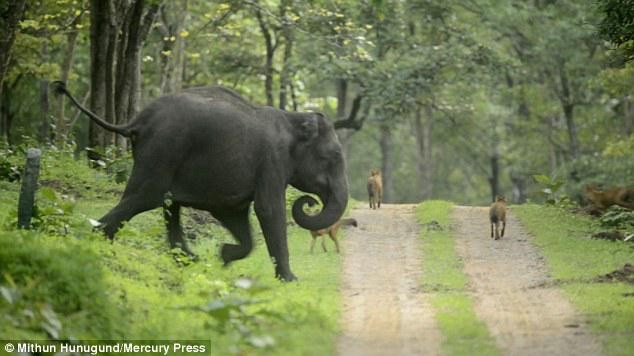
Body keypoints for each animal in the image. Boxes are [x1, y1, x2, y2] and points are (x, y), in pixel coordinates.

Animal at [53, 81, 350, 280]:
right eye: (333, 157)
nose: (310, 202)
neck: (293, 119)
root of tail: (137, 121)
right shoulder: (272, 161)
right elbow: (268, 209)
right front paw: (290, 280)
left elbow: (233, 212)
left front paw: (224, 257)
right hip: (162, 151)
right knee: (145, 197)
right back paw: (97, 241)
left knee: (167, 205)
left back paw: (187, 259)